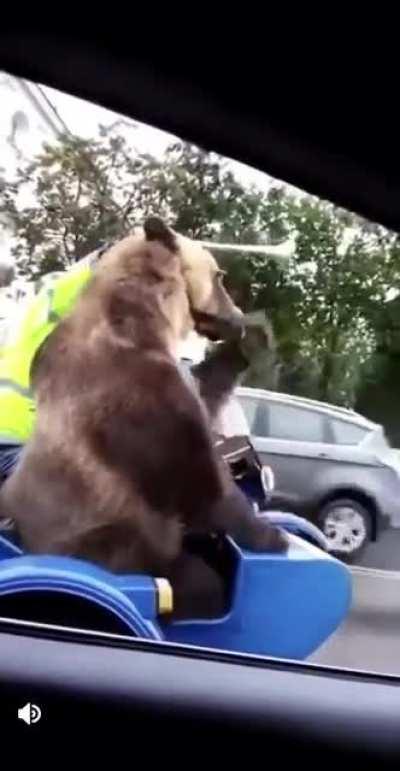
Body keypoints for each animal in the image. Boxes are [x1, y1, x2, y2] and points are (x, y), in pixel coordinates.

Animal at [0, 218, 286, 618]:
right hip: (100, 543)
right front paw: (273, 536)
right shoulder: (137, 404)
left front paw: (255, 338)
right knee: (184, 575)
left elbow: (205, 386)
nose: (236, 317)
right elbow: (199, 479)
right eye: (219, 276)